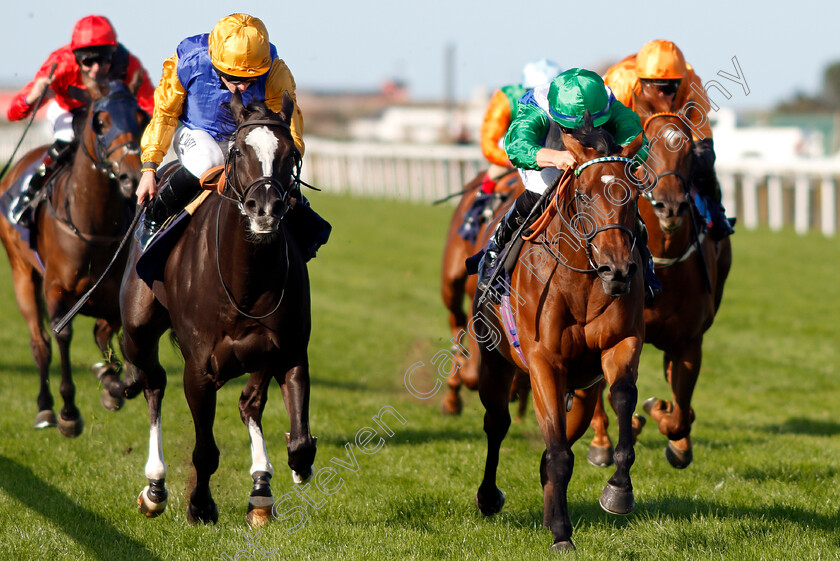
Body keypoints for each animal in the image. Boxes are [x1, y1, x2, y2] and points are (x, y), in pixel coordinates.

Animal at [0, 76, 146, 436]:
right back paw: (45, 408)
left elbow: (110, 335)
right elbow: (62, 334)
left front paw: (113, 384)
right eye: (101, 122)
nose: (132, 176)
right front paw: (68, 412)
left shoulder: (110, 293)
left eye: (141, 118)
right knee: (39, 343)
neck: (93, 224)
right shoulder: (57, 289)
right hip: (21, 272)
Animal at [122, 92, 322, 524]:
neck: (245, 282)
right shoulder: (199, 369)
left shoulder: (289, 352)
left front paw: (294, 470)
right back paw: (155, 486)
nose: (265, 209)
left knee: (250, 404)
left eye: (290, 153)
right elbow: (205, 451)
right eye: (239, 150)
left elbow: (298, 438)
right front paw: (200, 505)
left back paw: (261, 489)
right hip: (137, 330)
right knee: (153, 383)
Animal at [476, 118, 648, 552]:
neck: (583, 280)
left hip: (583, 391)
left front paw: (618, 490)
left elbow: (623, 397)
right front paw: (561, 534)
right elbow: (556, 452)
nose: (617, 270)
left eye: (633, 194)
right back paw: (489, 497)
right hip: (495, 361)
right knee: (497, 423)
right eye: (584, 195)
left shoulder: (621, 344)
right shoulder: (544, 361)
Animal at [588, 96, 732, 468]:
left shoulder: (689, 340)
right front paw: (631, 424)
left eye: (690, 152)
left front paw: (671, 427)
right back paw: (600, 441)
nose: (670, 207)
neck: (664, 266)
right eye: (646, 150)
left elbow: (679, 409)